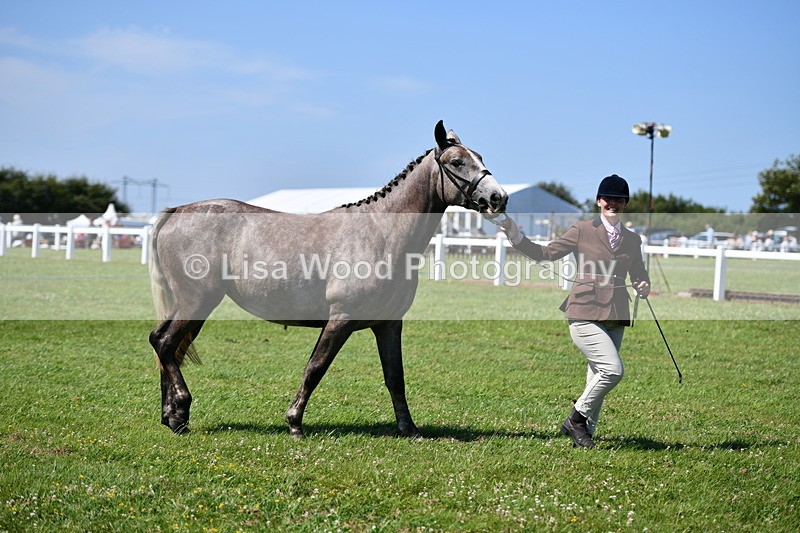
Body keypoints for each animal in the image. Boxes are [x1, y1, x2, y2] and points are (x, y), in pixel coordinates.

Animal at [148, 120, 508, 437]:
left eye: (481, 158)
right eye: (457, 162)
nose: (498, 198)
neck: (382, 233)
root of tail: (178, 211)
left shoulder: (389, 324)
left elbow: (395, 377)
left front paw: (410, 429)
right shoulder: (341, 320)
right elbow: (315, 369)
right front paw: (294, 423)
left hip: (192, 305)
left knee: (163, 343)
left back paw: (172, 416)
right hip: (198, 302)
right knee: (166, 345)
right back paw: (180, 410)